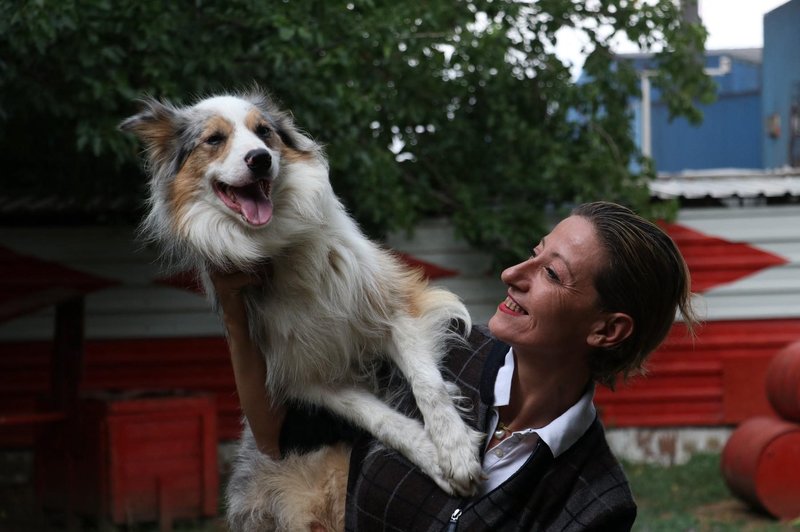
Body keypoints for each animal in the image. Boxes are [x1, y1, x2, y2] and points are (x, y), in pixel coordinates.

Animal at [119, 89, 482, 528]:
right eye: (214, 139)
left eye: (264, 132)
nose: (260, 158)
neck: (276, 248)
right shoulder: (306, 378)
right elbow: (379, 418)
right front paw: (431, 454)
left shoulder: (398, 306)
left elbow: (428, 385)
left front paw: (454, 448)